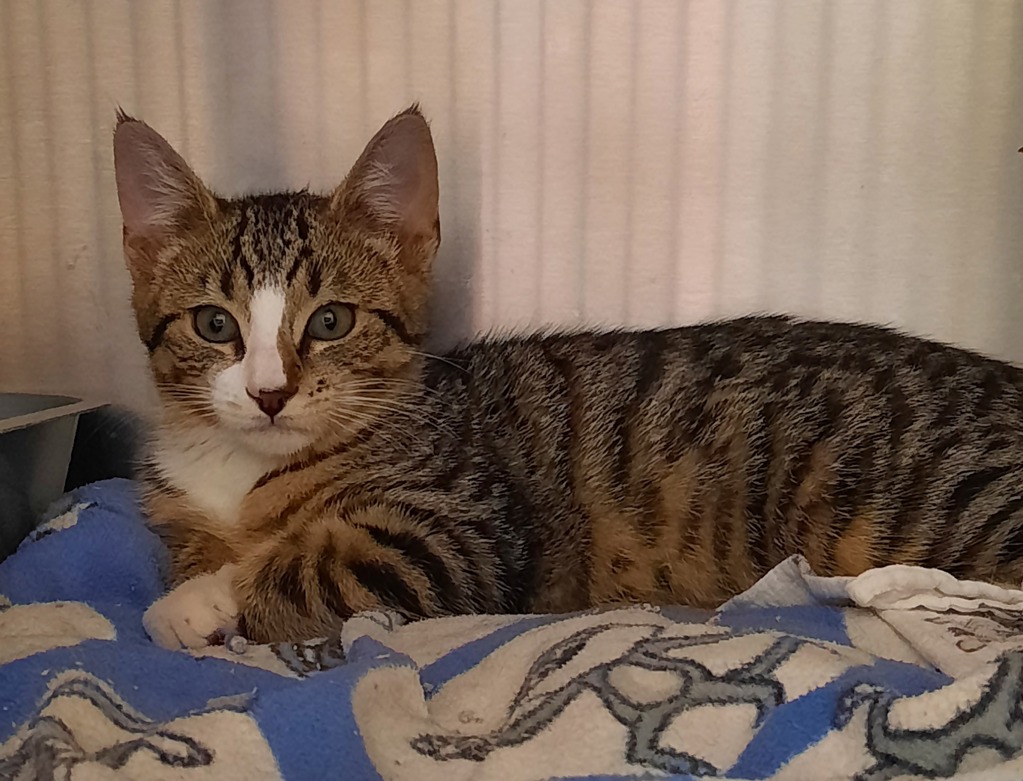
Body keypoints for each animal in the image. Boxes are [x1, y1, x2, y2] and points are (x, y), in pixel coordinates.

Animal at [114, 105, 1023, 649]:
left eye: (330, 321)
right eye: (214, 325)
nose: (268, 392)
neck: (245, 473)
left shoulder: (463, 533)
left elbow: (305, 562)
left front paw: (195, 604)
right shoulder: (177, 511)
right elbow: (195, 548)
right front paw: (195, 581)